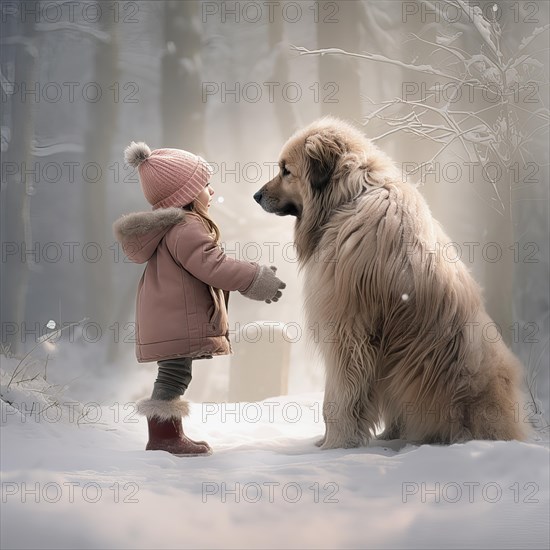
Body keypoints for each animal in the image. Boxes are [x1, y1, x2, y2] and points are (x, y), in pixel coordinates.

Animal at [254, 118, 532, 450]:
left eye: (286, 170)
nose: (256, 195)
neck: (351, 196)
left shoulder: (346, 330)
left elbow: (337, 398)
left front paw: (334, 444)